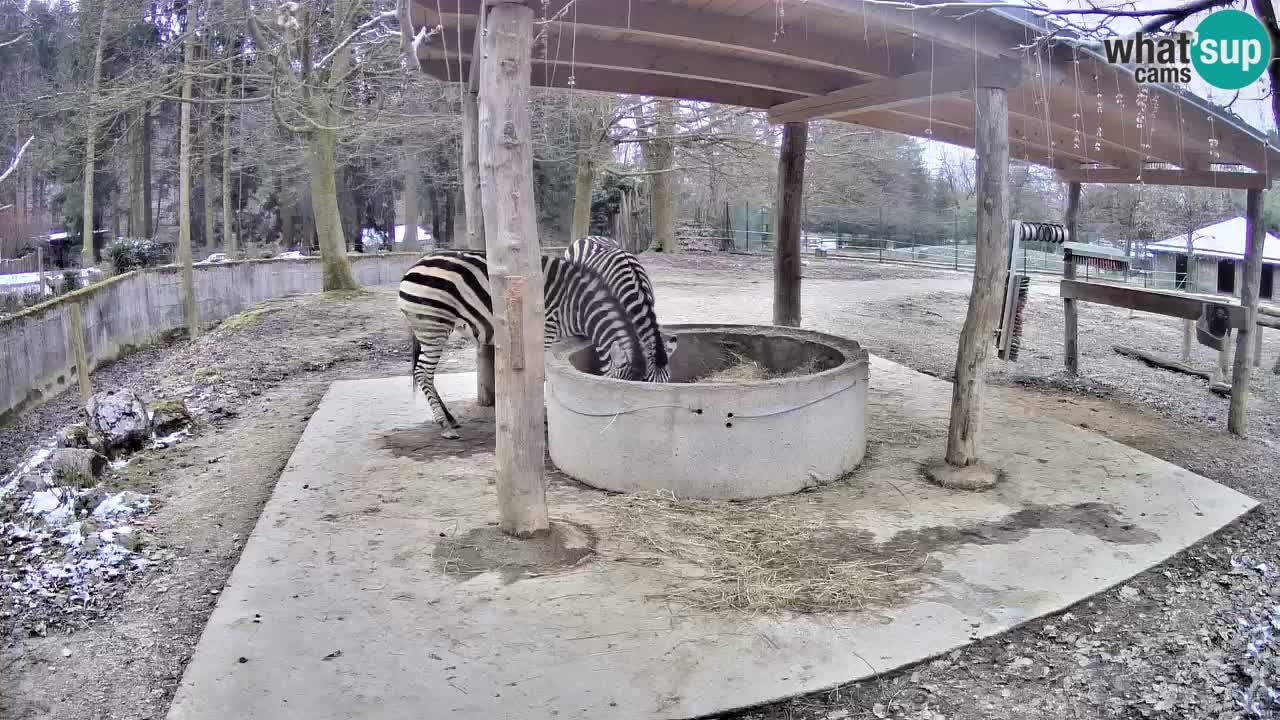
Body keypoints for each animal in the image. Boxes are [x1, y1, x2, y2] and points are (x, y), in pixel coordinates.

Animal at [394, 249, 645, 435]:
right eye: (615, 393)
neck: (576, 305)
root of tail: (414, 266)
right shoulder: (545, 332)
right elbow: (540, 376)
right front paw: (540, 416)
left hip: (427, 330)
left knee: (425, 373)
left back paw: (450, 418)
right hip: (433, 326)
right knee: (422, 373)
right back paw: (445, 425)